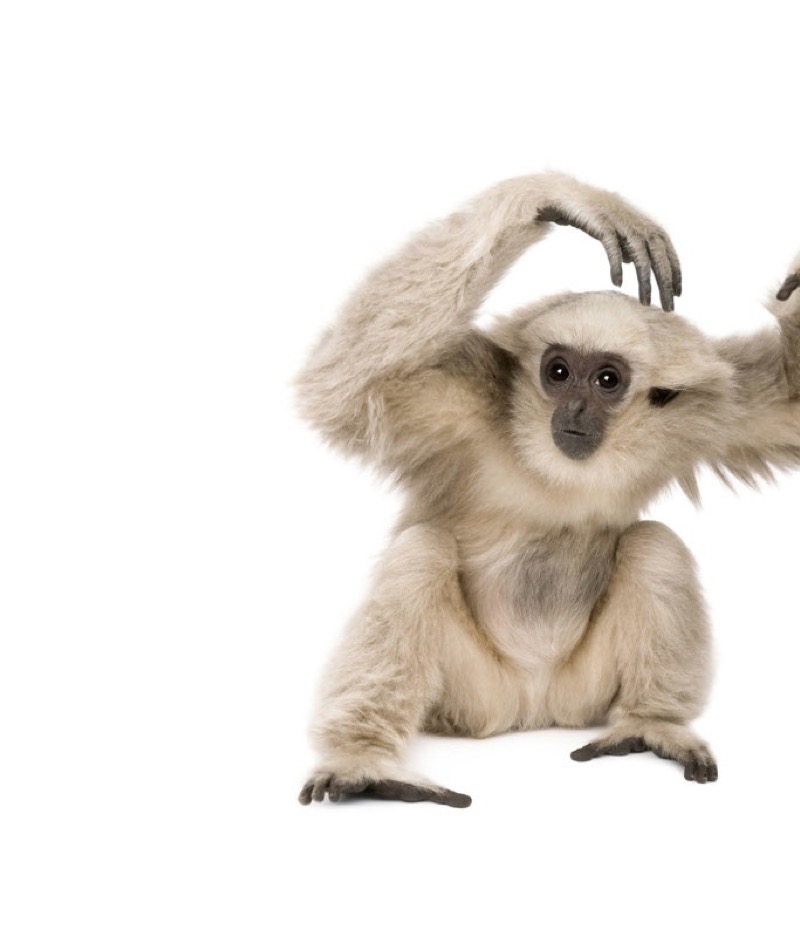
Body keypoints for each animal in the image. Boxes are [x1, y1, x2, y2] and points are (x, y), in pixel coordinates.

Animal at [295, 172, 800, 807]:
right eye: (558, 372)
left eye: (606, 380)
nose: (575, 408)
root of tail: (531, 709)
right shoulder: (460, 403)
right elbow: (341, 385)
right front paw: (565, 198)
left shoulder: (710, 411)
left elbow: (789, 402)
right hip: (472, 696)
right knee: (420, 554)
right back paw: (364, 760)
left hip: (582, 692)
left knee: (654, 545)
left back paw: (652, 724)